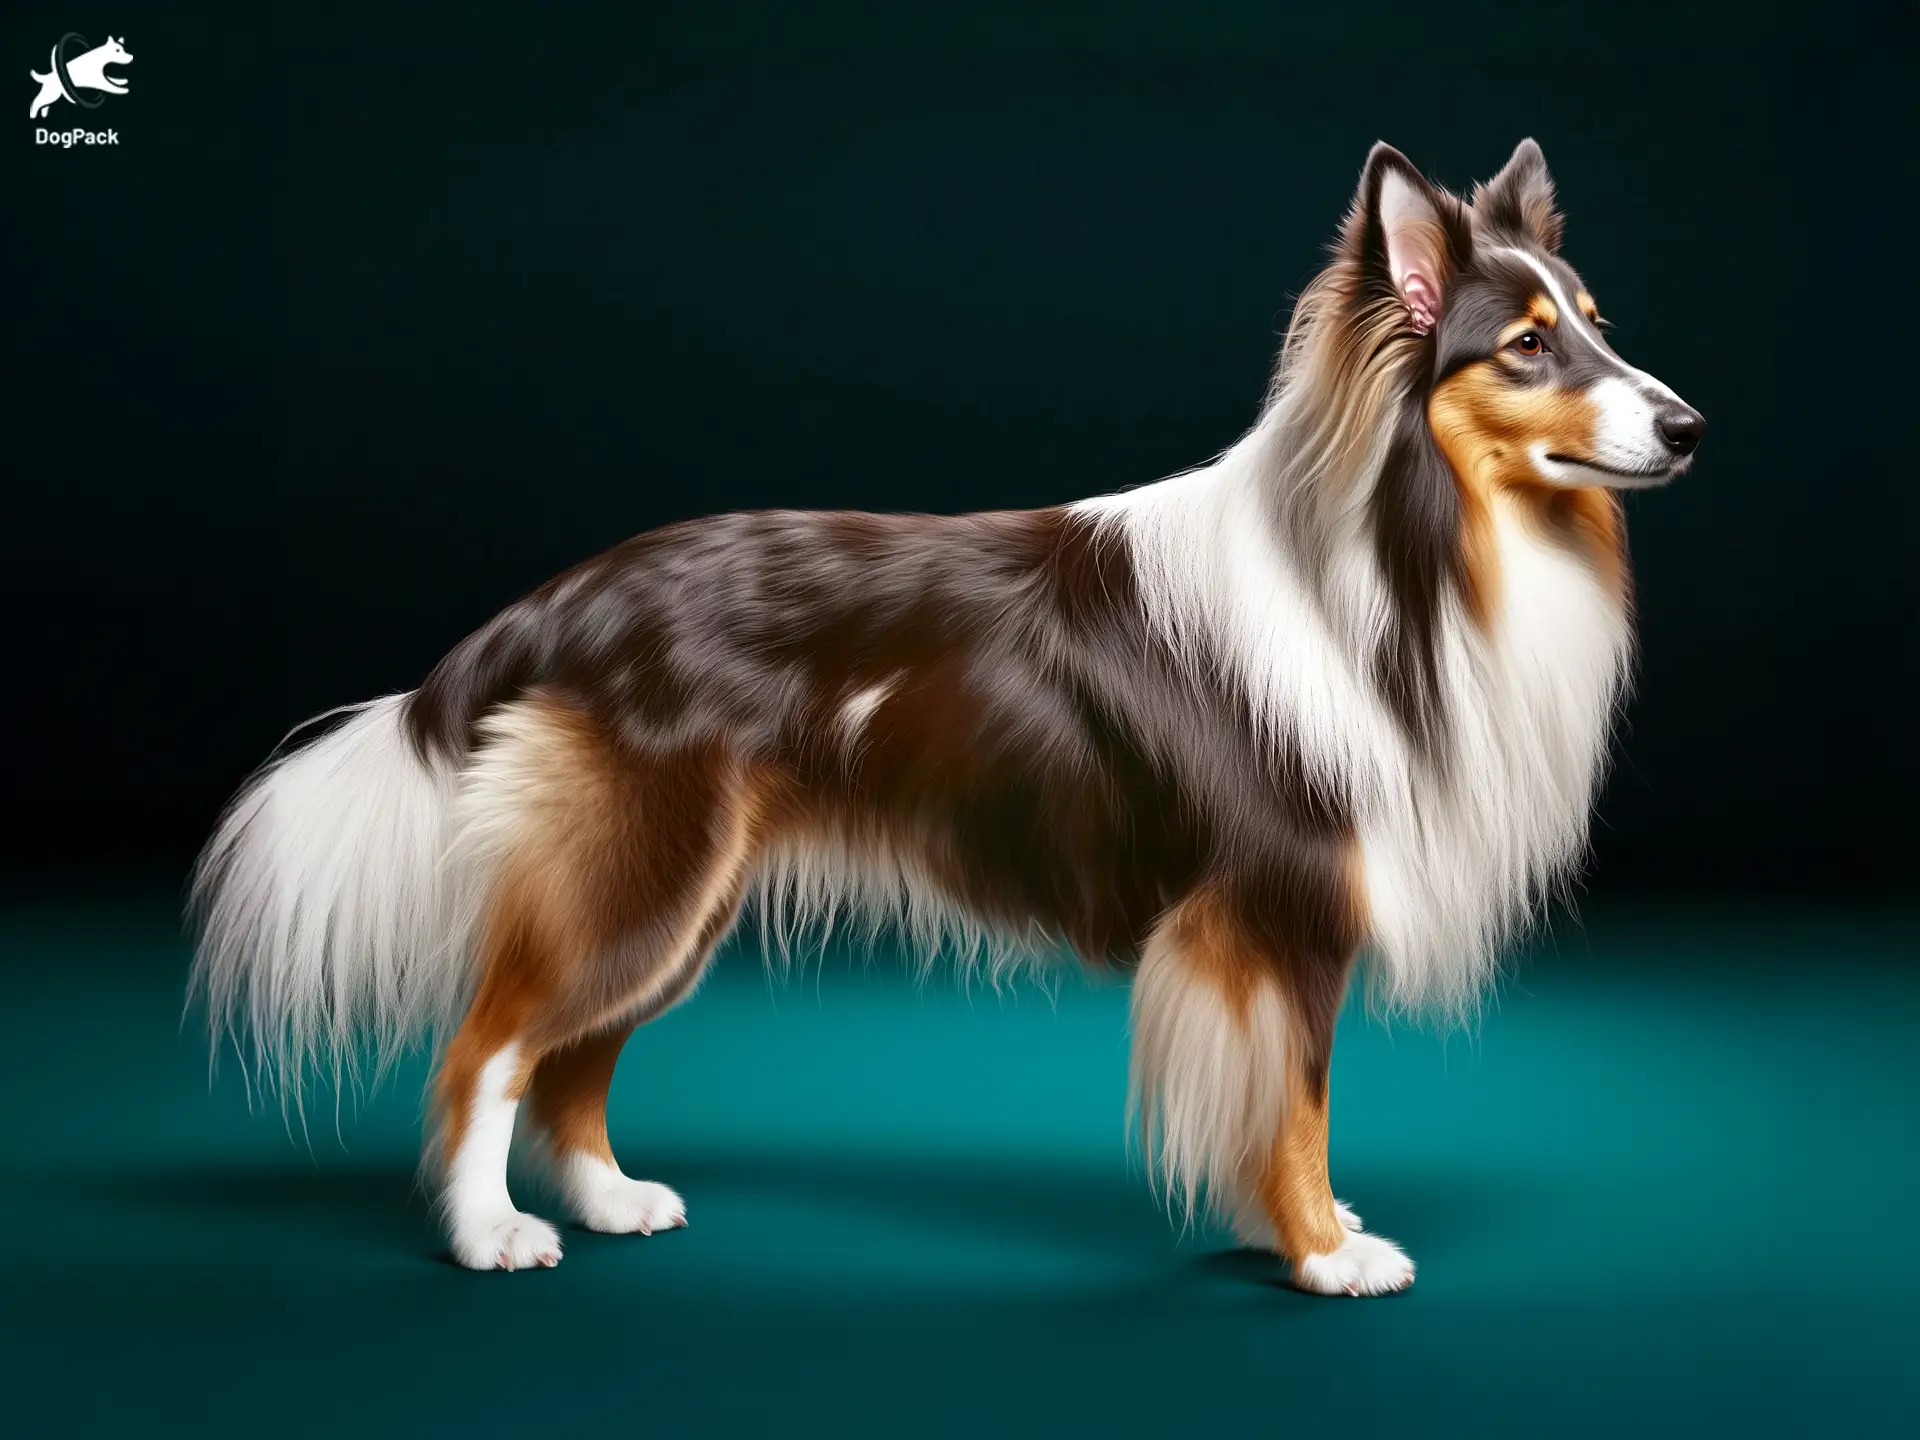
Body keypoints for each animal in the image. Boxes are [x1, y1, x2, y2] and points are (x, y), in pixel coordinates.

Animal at [187, 144, 1704, 1297]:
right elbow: (1299, 1105)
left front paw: (1303, 1238)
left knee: (576, 1051)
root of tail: (556, 601)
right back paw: (493, 1235)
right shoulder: (1274, 911)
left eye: (1598, 322)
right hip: (640, 869)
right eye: (1525, 346)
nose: (1689, 425)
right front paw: (1328, 1253)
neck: (1407, 553)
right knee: (489, 1045)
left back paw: (611, 1201)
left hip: (683, 894)